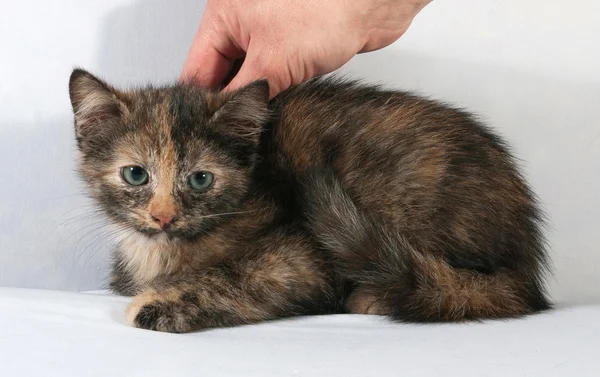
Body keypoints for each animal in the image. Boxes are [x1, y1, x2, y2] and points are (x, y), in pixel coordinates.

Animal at [68, 68, 552, 332]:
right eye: (135, 174)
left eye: (201, 180)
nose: (164, 217)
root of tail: (527, 262)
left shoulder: (303, 255)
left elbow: (234, 274)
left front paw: (157, 304)